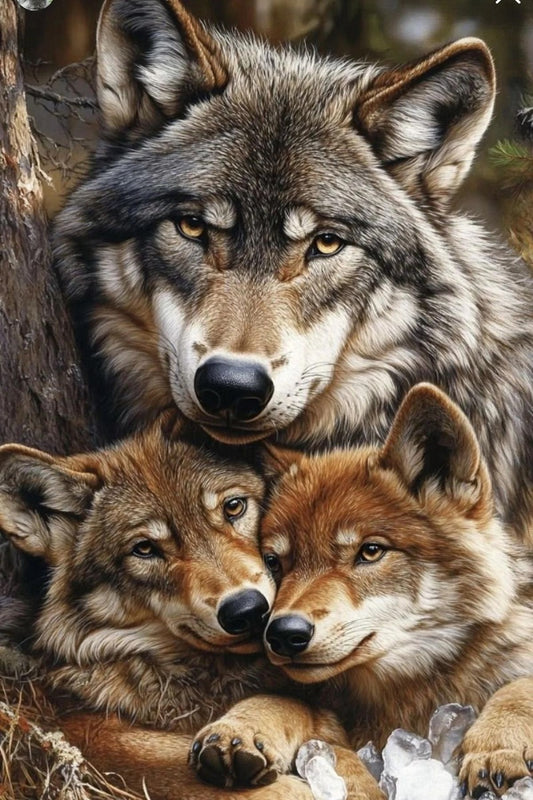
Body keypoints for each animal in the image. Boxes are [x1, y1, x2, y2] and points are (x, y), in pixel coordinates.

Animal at [0, 419, 381, 800]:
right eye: (144, 549)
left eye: (233, 507)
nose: (247, 609)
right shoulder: (84, 727)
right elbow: (165, 765)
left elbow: (295, 710)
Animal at [189, 385, 533, 797]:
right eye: (274, 562)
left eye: (370, 551)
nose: (283, 634)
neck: (409, 693)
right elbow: (283, 701)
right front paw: (236, 730)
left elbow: (518, 687)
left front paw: (497, 747)